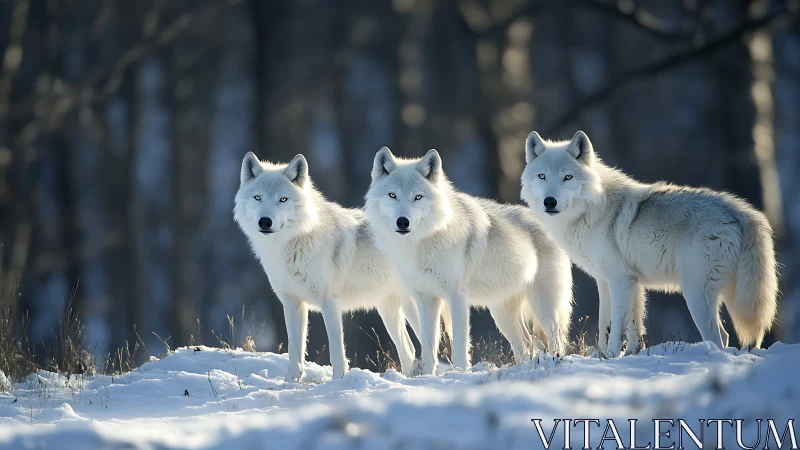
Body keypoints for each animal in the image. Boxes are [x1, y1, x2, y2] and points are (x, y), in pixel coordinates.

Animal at [234, 153, 425, 382]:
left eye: (282, 199)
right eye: (257, 198)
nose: (265, 221)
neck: (295, 243)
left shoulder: (329, 301)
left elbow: (336, 350)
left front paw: (338, 382)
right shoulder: (292, 303)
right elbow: (294, 351)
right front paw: (290, 382)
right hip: (388, 310)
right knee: (409, 350)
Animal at [365, 147, 573, 375]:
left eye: (418, 197)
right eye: (392, 195)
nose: (403, 222)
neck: (420, 244)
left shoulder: (456, 296)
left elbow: (459, 346)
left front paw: (459, 373)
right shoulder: (425, 299)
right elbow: (428, 347)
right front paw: (427, 376)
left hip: (544, 308)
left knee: (555, 341)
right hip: (502, 314)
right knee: (526, 344)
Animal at [521, 130, 778, 357]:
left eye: (568, 177)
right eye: (542, 176)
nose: (549, 201)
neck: (592, 208)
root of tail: (740, 211)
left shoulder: (619, 279)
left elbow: (616, 327)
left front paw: (612, 355)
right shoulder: (613, 281)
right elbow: (619, 325)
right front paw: (622, 354)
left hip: (695, 292)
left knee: (718, 337)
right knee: (726, 336)